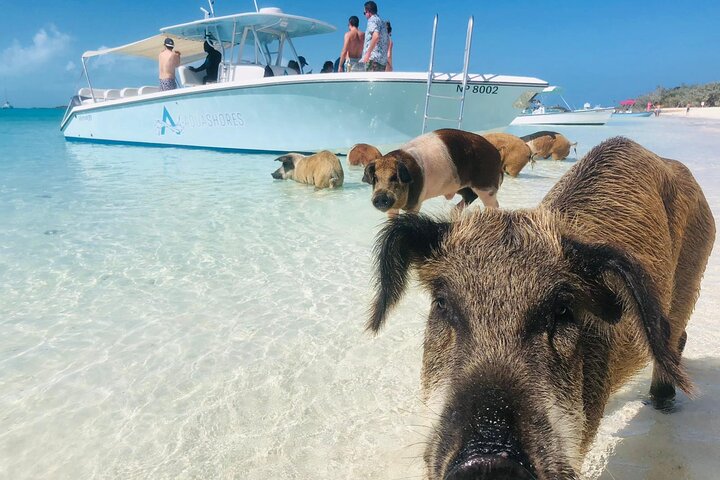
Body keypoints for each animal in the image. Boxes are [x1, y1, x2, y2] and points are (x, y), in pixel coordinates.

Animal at [366, 137, 716, 478]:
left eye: (562, 309)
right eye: (441, 303)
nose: (489, 461)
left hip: (689, 280)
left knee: (676, 339)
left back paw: (662, 404)